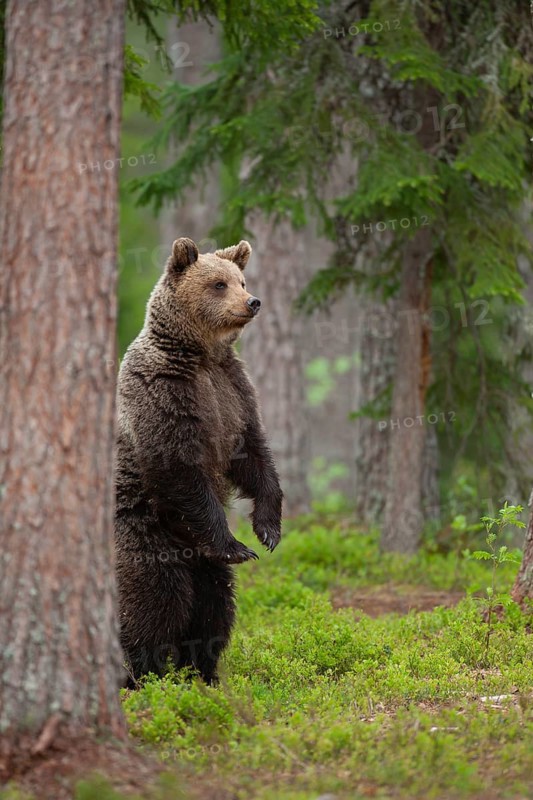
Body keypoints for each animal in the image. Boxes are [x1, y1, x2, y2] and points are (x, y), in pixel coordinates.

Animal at [114, 236, 283, 686]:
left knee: (214, 606)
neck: (199, 355)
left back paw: (202, 672)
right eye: (218, 284)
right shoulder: (165, 393)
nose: (253, 301)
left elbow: (253, 454)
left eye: (242, 280)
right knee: (155, 601)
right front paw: (238, 545)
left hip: (203, 564)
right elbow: (181, 470)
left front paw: (268, 529)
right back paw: (141, 674)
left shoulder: (233, 392)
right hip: (143, 535)